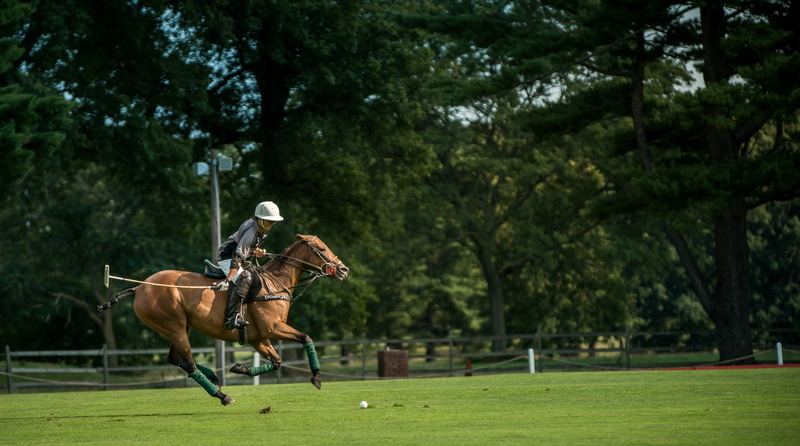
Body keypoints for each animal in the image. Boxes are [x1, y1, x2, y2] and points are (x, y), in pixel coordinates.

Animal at [96, 234, 349, 405]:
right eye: (322, 248)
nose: (344, 270)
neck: (274, 283)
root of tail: (139, 288)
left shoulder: (258, 338)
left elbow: (277, 361)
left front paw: (238, 368)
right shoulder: (273, 327)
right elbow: (306, 337)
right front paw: (316, 377)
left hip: (180, 327)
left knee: (175, 359)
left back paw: (215, 376)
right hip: (173, 325)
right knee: (188, 364)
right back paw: (222, 395)